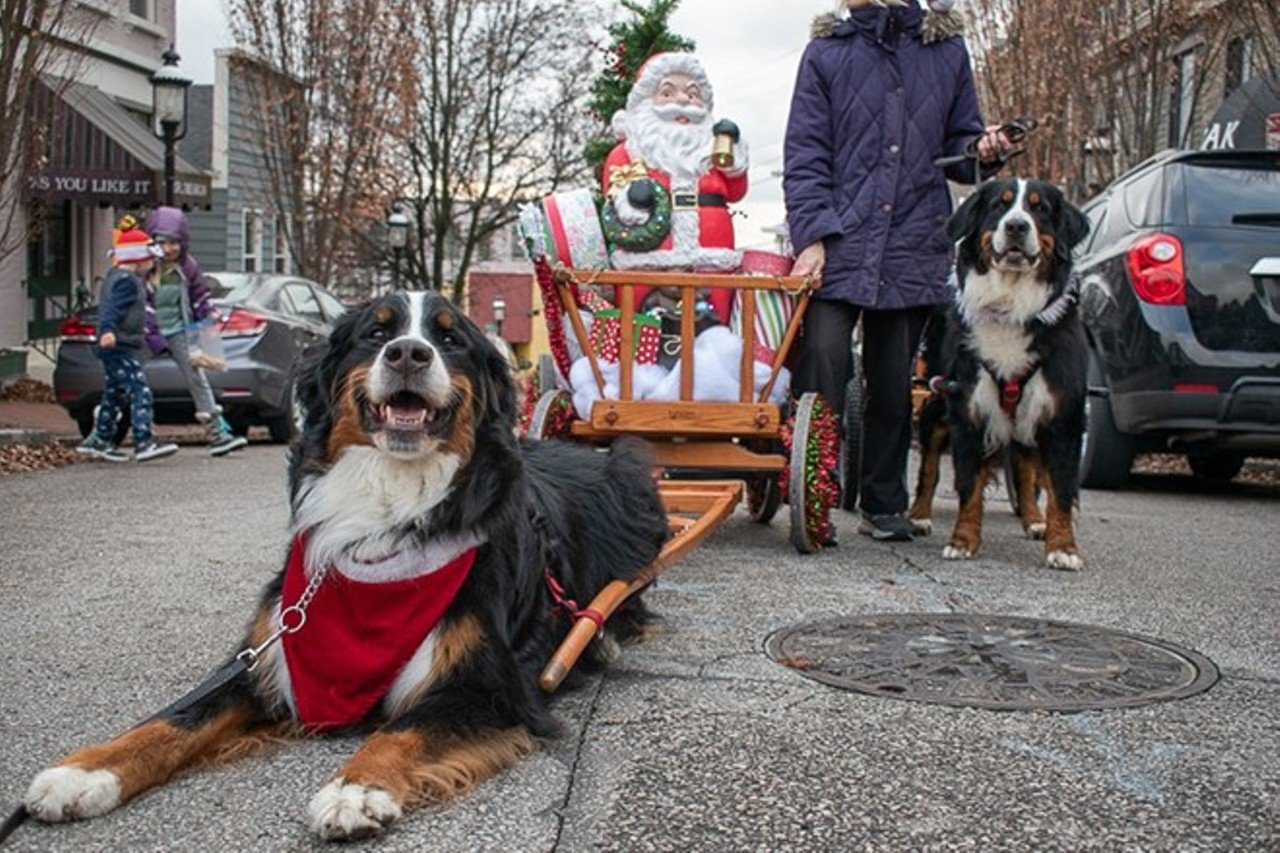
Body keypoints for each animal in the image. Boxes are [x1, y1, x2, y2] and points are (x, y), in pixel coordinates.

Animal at [24, 290, 670, 835]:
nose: (408, 352)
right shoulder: (265, 655)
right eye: (375, 333)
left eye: (450, 338)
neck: (390, 501)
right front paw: (83, 771)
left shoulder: (489, 685)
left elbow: (404, 731)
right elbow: (175, 718)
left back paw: (604, 635)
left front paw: (357, 788)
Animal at [911, 176, 1090, 568]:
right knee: (929, 466)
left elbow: (1059, 489)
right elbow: (967, 486)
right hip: (935, 398)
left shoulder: (1060, 416)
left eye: (1040, 208)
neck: (1010, 305)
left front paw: (1063, 547)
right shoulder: (969, 408)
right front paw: (962, 541)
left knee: (1024, 465)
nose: (1017, 226)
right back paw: (917, 516)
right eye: (999, 205)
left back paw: (1034, 519)